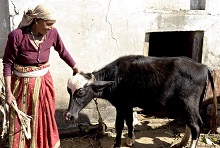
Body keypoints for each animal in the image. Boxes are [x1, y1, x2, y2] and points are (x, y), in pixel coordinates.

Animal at [65, 55, 217, 147]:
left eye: (81, 92)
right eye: (69, 91)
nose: (69, 116)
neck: (116, 78)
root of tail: (203, 67)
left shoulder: (121, 105)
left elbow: (119, 125)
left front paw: (117, 144)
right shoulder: (128, 105)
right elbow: (130, 122)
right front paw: (129, 140)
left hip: (188, 105)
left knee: (196, 125)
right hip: (188, 107)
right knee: (190, 124)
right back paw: (181, 143)